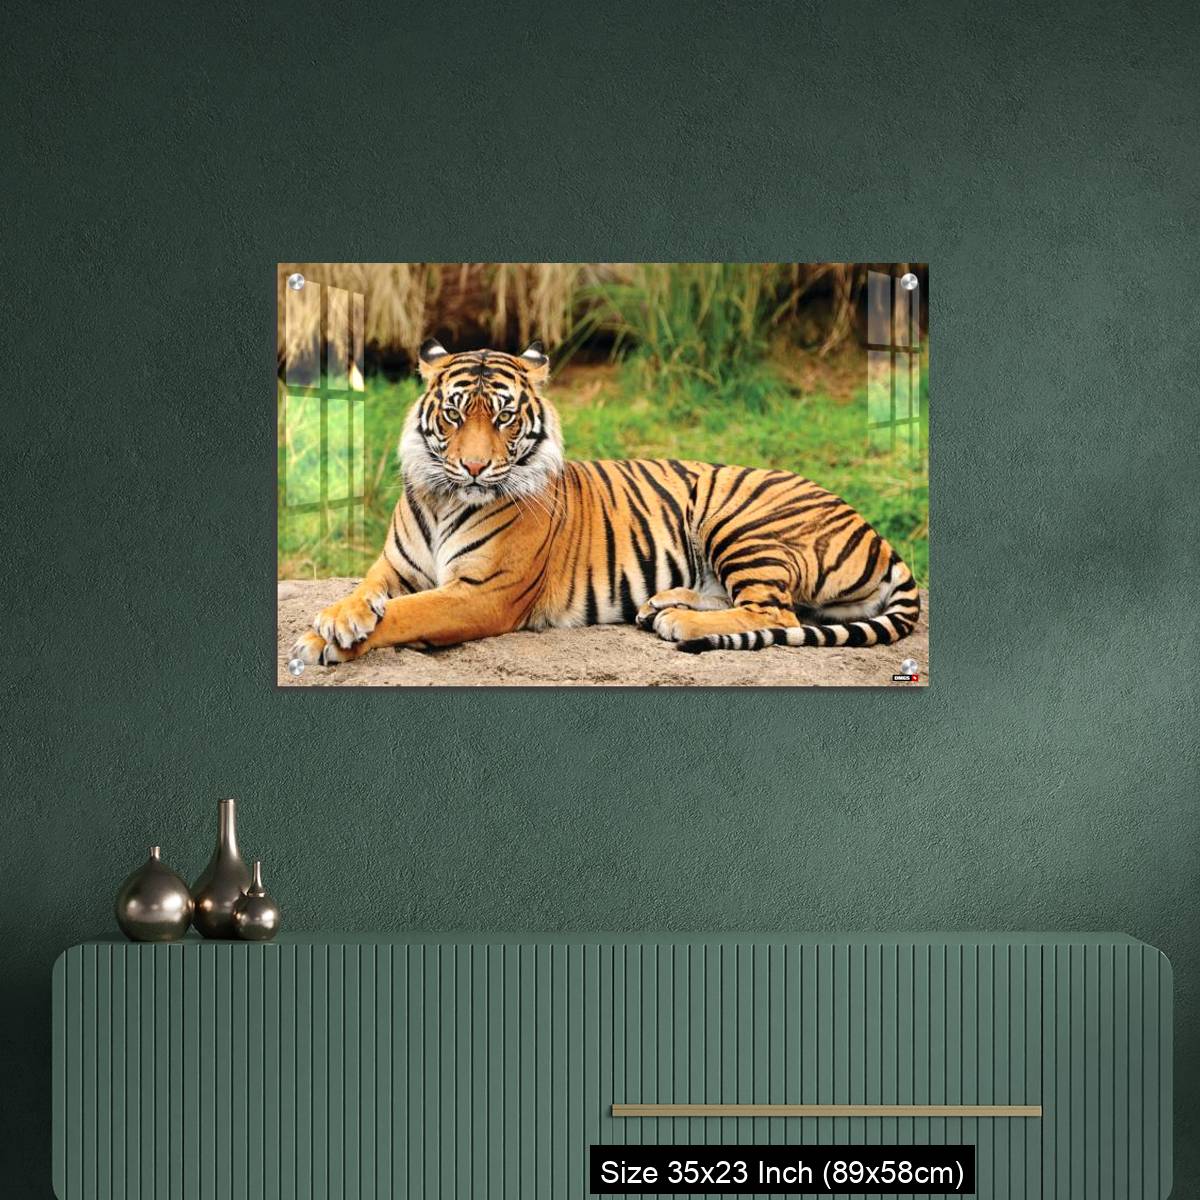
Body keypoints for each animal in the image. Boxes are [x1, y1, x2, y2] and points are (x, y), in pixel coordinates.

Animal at [289, 339, 920, 667]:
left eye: (504, 417)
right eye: (453, 414)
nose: (473, 467)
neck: (446, 499)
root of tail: (876, 532)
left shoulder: (483, 593)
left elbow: (407, 613)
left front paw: (325, 641)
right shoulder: (393, 567)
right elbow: (365, 594)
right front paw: (335, 619)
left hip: (739, 520)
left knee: (777, 613)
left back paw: (680, 623)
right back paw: (662, 605)